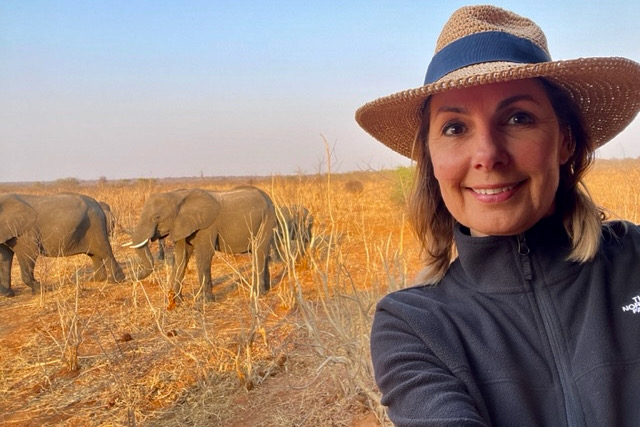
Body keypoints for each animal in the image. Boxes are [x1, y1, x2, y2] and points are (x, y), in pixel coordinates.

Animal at [124, 186, 276, 300]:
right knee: (261, 252)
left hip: (267, 219)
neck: (178, 196)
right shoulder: (181, 225)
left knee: (259, 251)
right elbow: (181, 256)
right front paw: (176, 302)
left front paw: (203, 302)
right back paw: (267, 289)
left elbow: (204, 255)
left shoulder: (207, 226)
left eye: (157, 217)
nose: (127, 279)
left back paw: (257, 294)